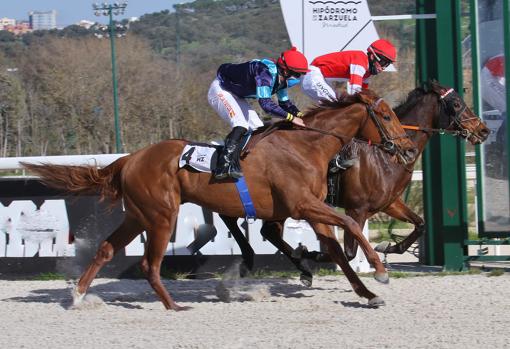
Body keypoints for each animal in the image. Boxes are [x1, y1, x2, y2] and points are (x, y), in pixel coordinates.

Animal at [21, 90, 416, 310]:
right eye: (385, 115)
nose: (409, 149)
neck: (307, 146)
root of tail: (130, 158)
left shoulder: (313, 210)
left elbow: (338, 251)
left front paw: (367, 292)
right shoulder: (303, 205)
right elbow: (350, 225)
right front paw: (380, 270)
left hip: (137, 215)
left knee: (105, 250)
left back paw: (78, 297)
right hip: (161, 216)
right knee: (150, 264)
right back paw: (173, 306)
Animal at [222, 81, 490, 286]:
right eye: (456, 104)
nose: (483, 130)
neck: (384, 156)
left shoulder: (388, 203)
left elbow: (420, 224)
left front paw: (388, 247)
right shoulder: (357, 208)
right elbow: (349, 252)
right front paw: (315, 253)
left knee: (266, 230)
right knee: (255, 225)